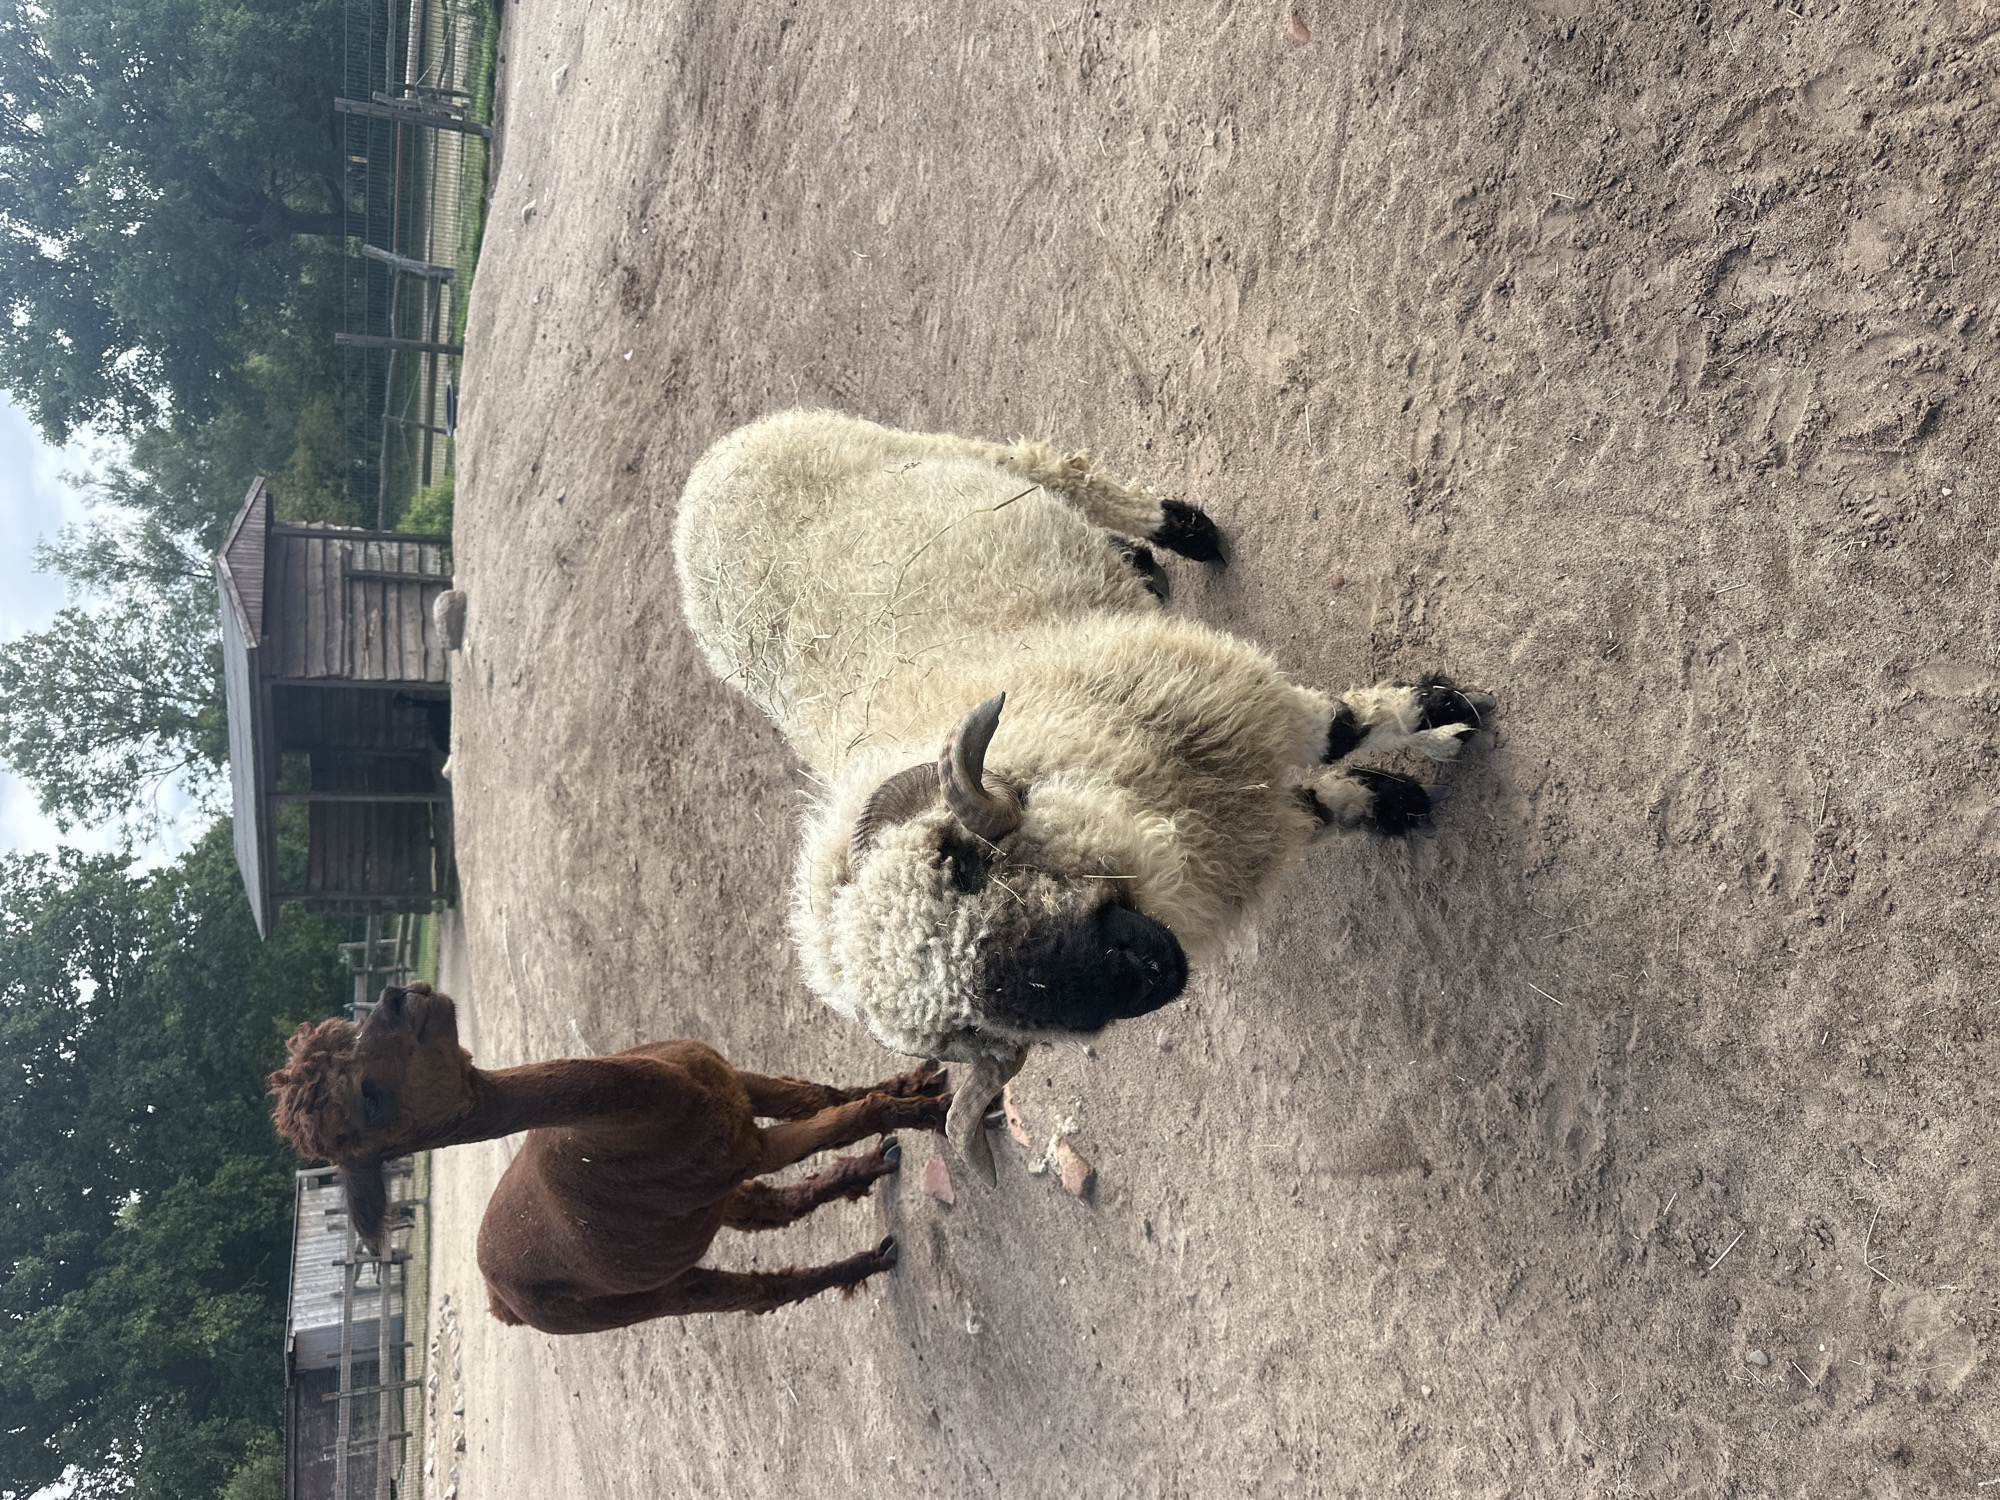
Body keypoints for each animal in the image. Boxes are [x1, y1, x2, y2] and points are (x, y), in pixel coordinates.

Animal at [268, 982, 952, 1330]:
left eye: (345, 1029)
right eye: (370, 1097)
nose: (394, 996)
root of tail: (496, 1297)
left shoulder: (731, 1086)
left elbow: (818, 1094)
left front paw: (919, 1082)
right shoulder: (742, 1148)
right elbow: (846, 1117)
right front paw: (931, 1111)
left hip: (686, 1210)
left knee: (764, 1211)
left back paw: (873, 1173)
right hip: (625, 1297)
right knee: (747, 1291)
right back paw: (869, 1258)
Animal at [672, 410, 1489, 1182]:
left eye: (962, 862)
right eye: (970, 1032)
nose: (1142, 979)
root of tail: (701, 482)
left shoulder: (1231, 706)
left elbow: (1345, 728)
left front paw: (1442, 718)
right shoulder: (1229, 806)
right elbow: (1318, 804)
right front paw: (1390, 801)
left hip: (956, 452)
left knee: (1061, 470)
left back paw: (1180, 532)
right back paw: (1141, 566)